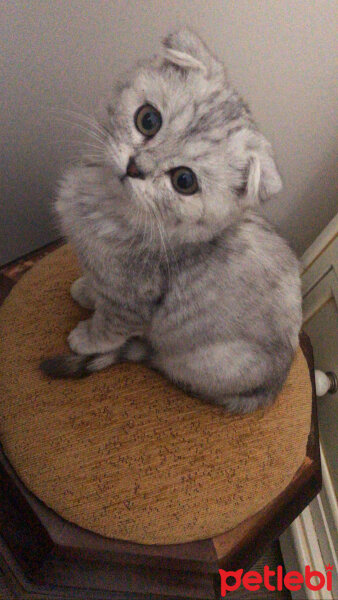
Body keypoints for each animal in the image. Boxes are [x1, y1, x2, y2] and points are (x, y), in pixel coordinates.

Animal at [41, 28, 302, 412]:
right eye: (148, 120)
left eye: (184, 181)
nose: (135, 167)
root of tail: (272, 388)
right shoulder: (105, 275)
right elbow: (96, 285)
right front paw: (86, 290)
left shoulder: (132, 300)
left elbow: (108, 327)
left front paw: (85, 337)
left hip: (201, 359)